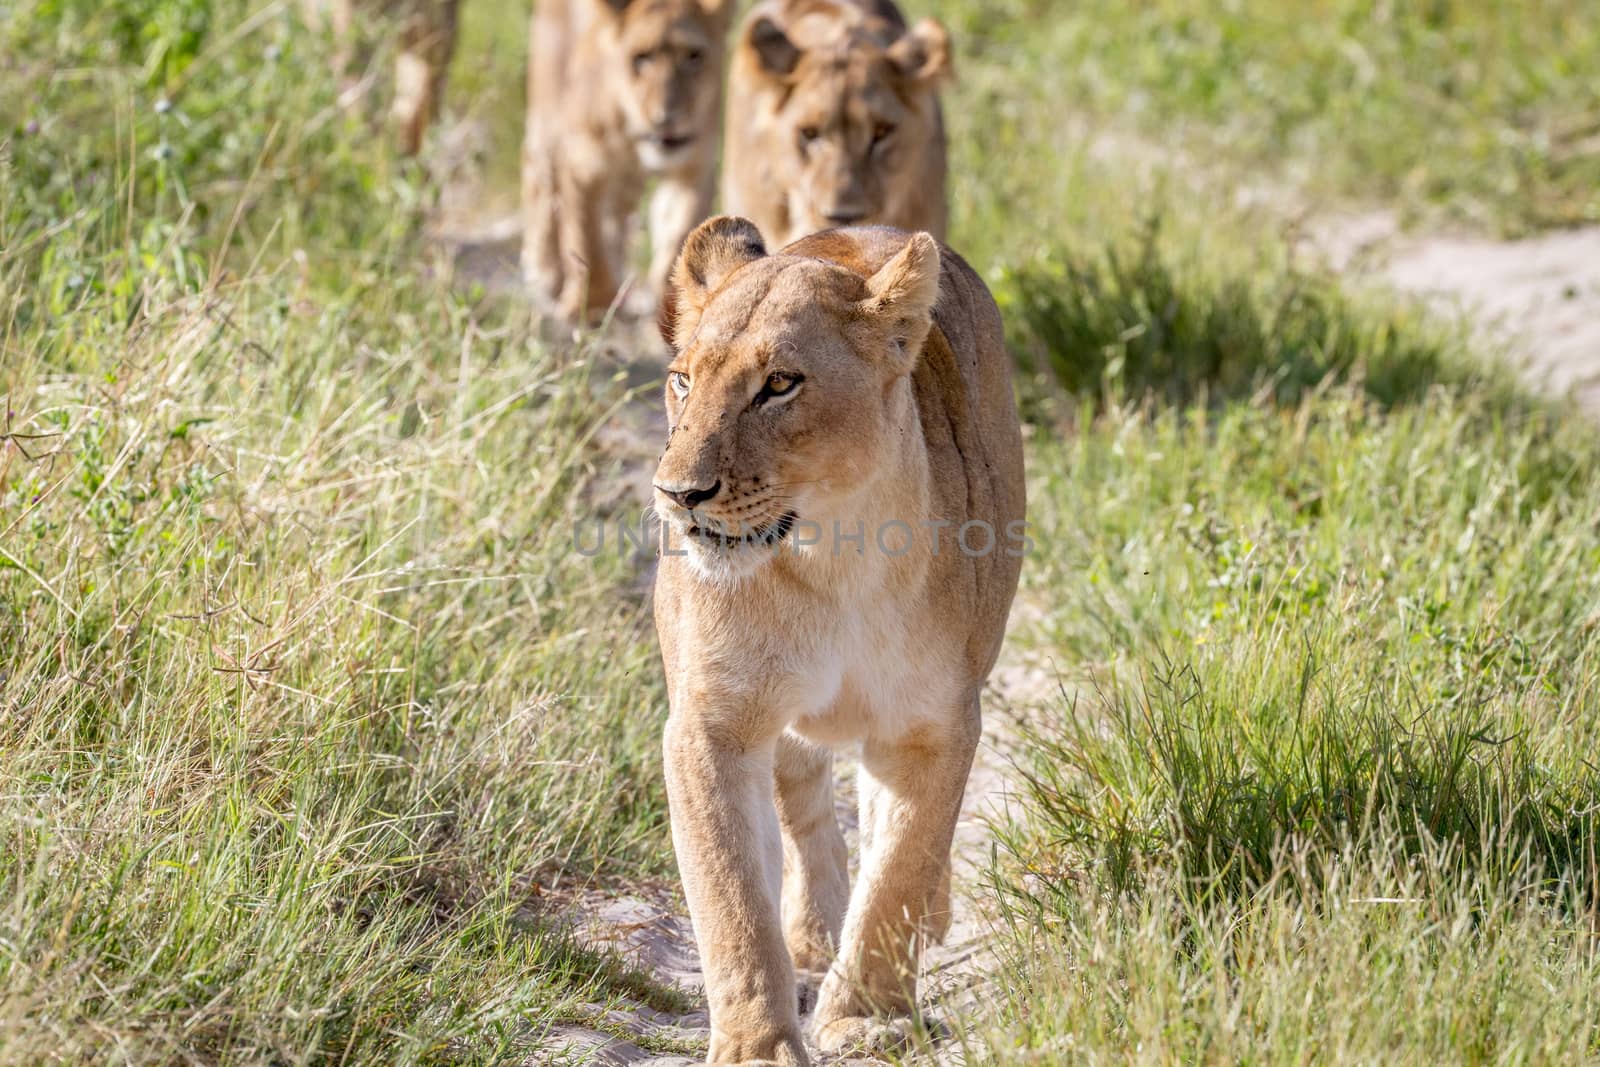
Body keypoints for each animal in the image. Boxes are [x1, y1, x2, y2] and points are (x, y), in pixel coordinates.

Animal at [521, 0, 732, 319]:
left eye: (694, 56)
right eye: (641, 58)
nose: (665, 118)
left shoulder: (692, 169)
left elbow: (679, 232)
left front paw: (672, 307)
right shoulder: (584, 166)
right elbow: (587, 237)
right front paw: (591, 304)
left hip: (626, 184)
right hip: (547, 122)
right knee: (540, 188)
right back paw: (544, 271)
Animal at [656, 214, 1030, 1062]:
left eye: (779, 385)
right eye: (682, 381)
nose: (678, 493)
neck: (832, 559)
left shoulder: (934, 723)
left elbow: (899, 865)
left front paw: (864, 1016)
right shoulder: (710, 721)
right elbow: (731, 894)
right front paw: (758, 1043)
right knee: (802, 803)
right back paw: (811, 940)